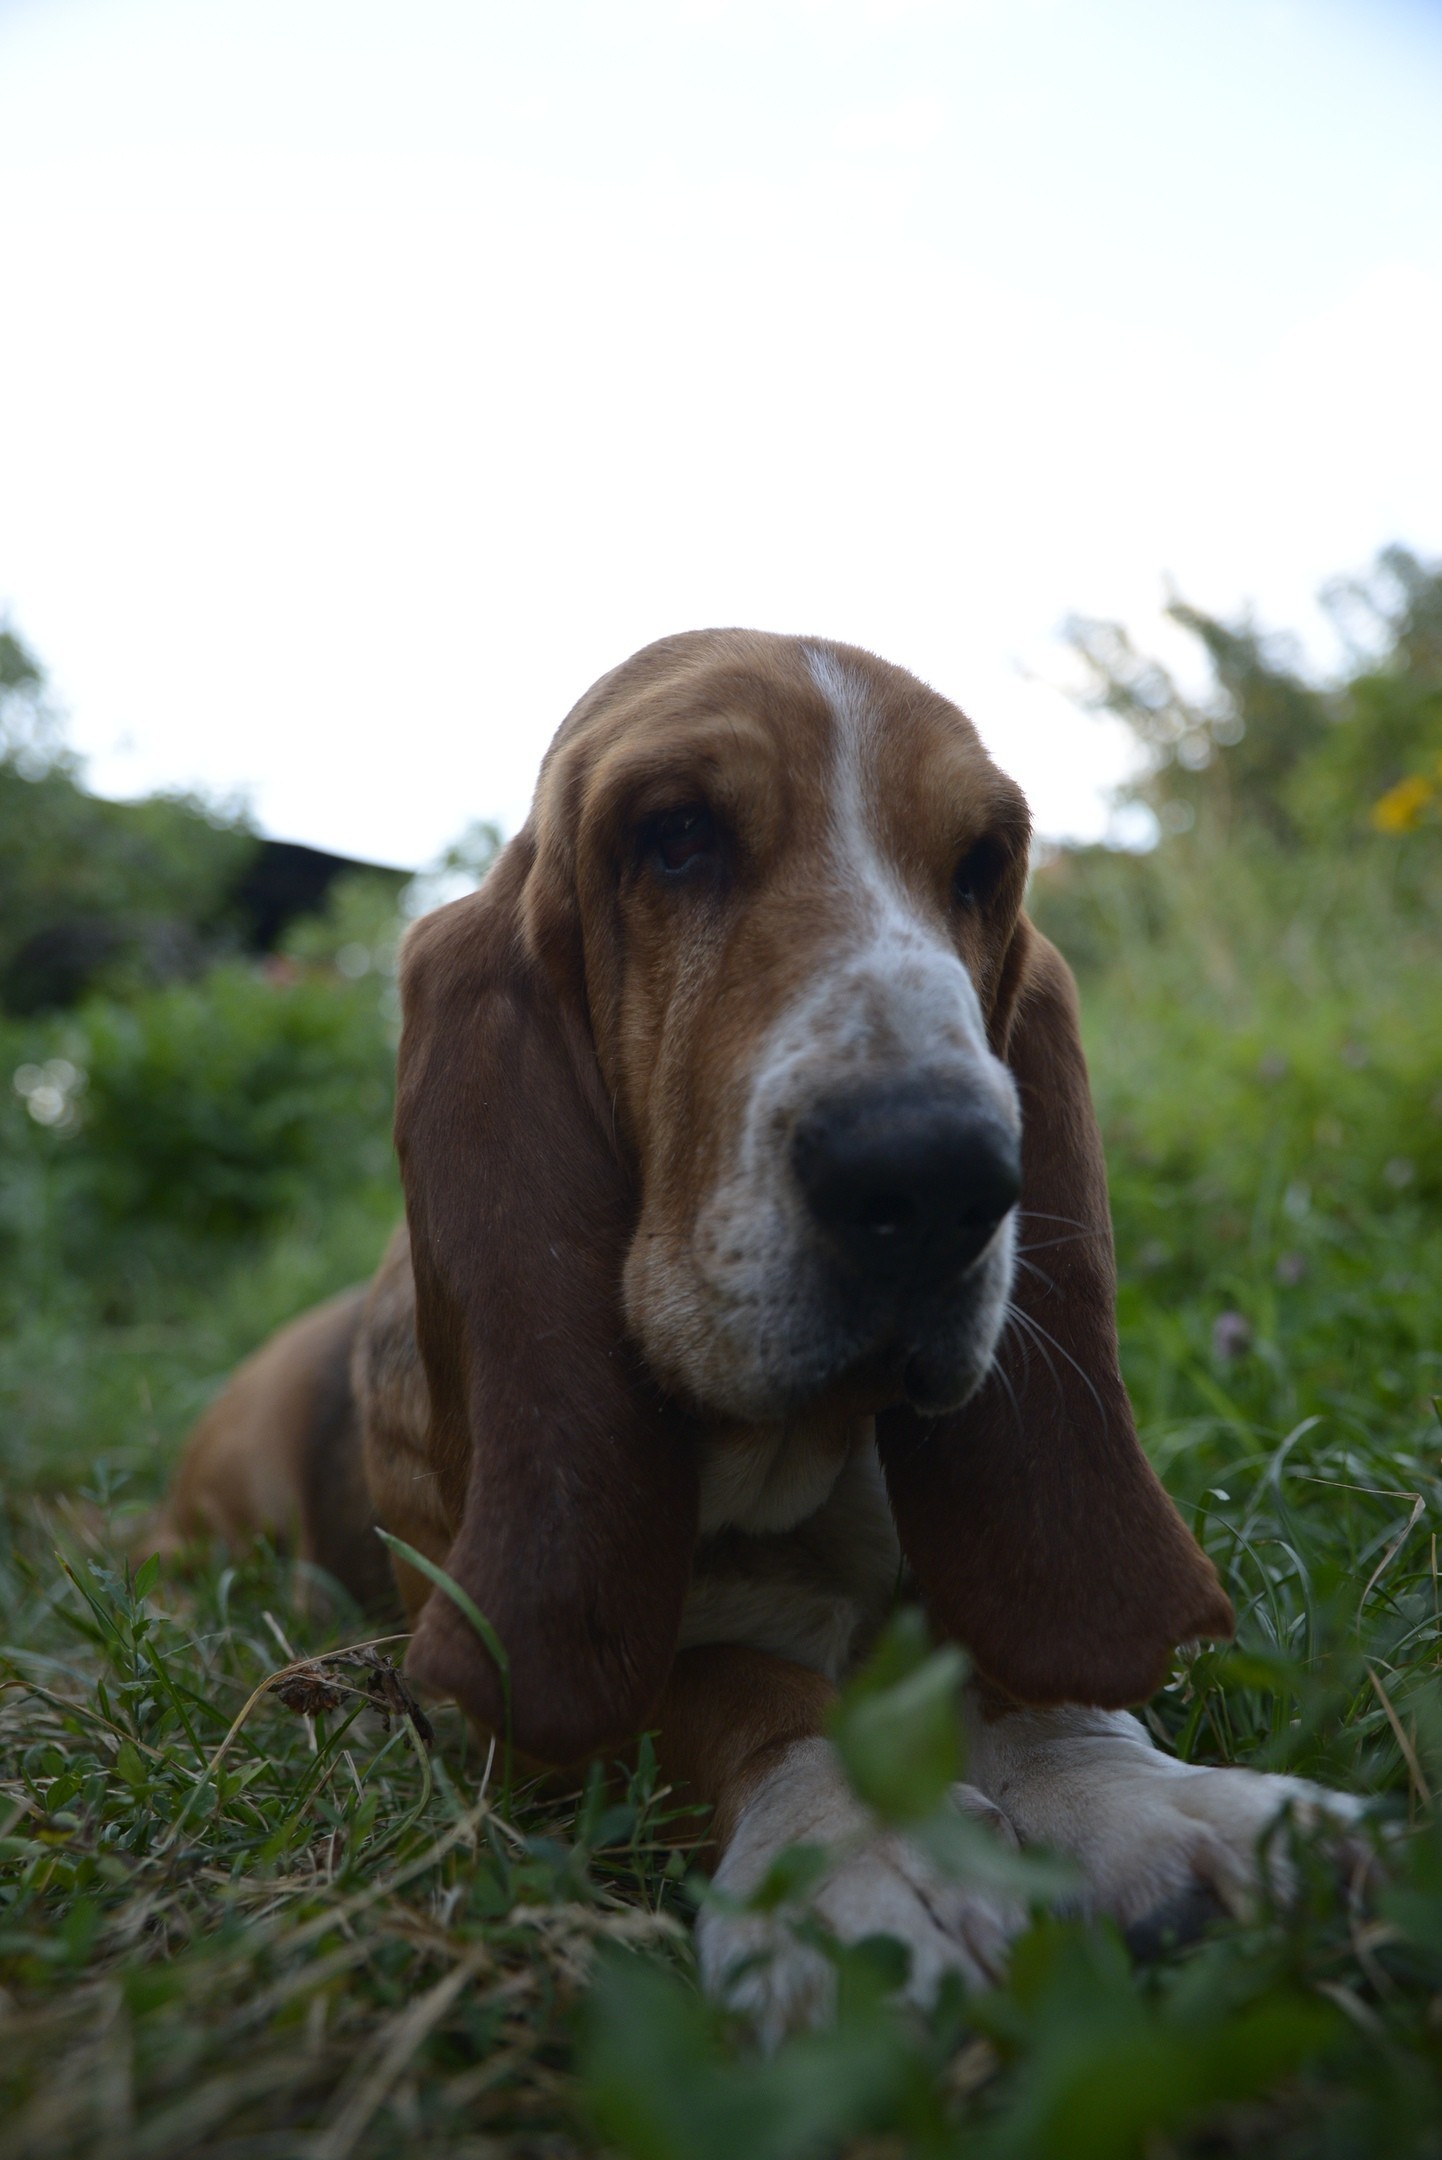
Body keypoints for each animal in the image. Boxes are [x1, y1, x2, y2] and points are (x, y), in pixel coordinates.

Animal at [162, 630, 1355, 2039]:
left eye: (979, 865)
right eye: (674, 835)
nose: (936, 1178)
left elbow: (1016, 1672)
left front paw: (1149, 1806)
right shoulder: (522, 1707)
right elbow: (734, 1686)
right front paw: (860, 1862)